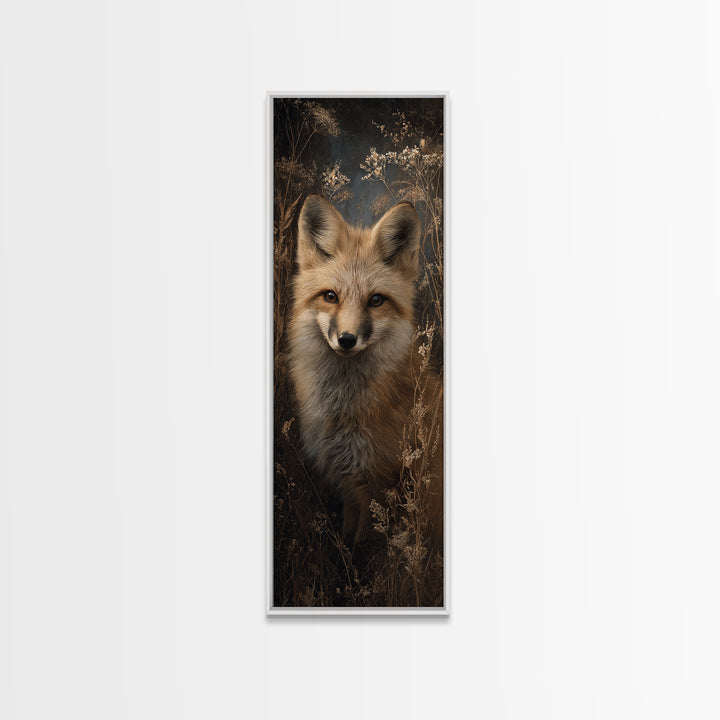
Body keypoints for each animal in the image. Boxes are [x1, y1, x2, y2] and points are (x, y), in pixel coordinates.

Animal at [288, 194, 443, 551]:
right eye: (331, 296)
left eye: (376, 300)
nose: (346, 340)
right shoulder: (348, 482)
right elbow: (348, 540)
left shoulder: (379, 485)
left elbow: (365, 550)